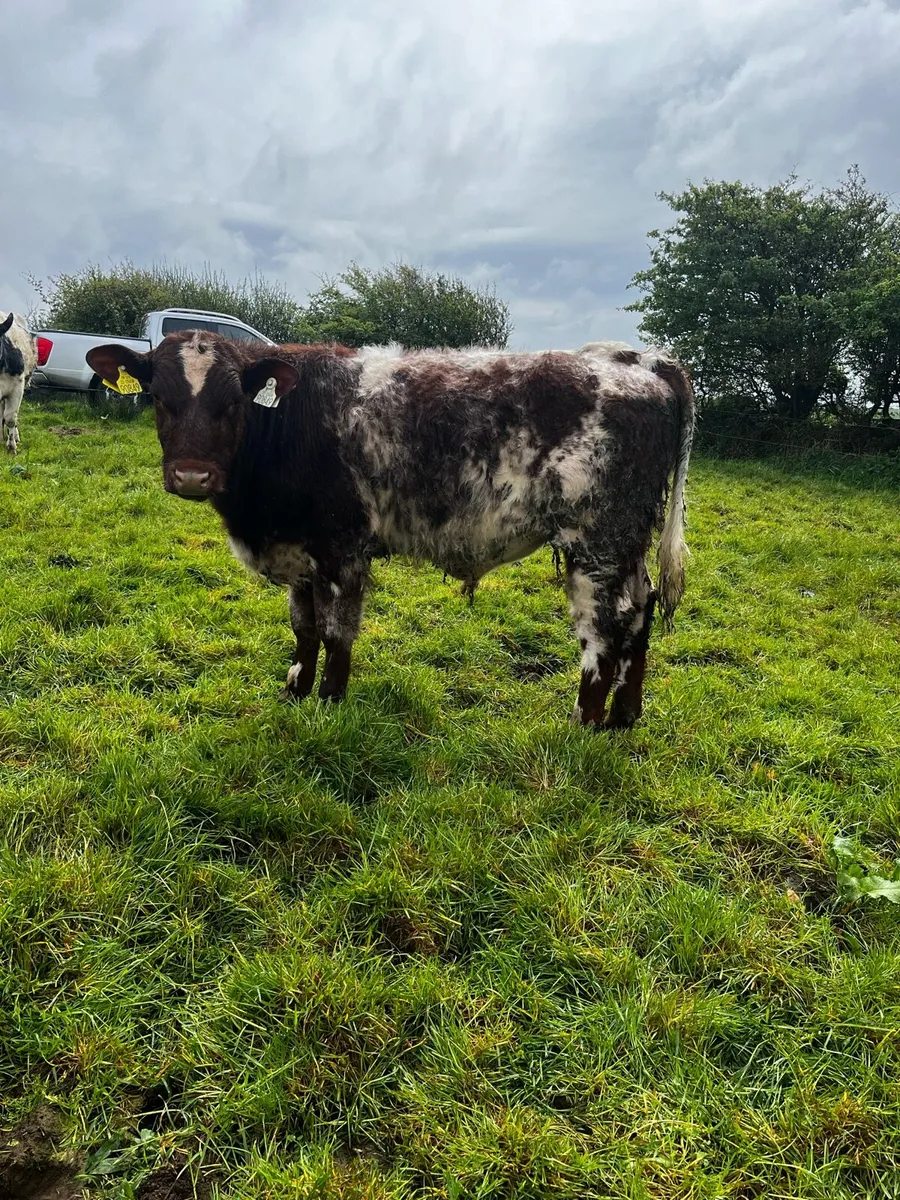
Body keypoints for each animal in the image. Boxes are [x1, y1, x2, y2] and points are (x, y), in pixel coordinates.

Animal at [86, 334, 694, 729]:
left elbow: (336, 633)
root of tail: (637, 358)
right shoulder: (298, 551)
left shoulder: (340, 549)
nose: (192, 475)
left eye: (233, 400)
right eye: (158, 397)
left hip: (597, 542)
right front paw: (295, 691)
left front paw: (328, 705)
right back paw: (624, 717)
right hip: (626, 544)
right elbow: (304, 628)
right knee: (641, 612)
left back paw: (584, 724)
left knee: (604, 630)